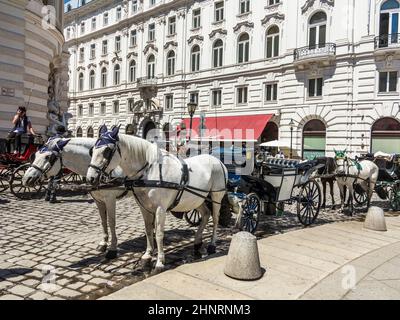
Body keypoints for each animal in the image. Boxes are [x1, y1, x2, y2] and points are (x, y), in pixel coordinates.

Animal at [85, 126, 227, 272]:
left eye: (107, 151)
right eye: (92, 150)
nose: (90, 178)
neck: (149, 171)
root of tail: (217, 160)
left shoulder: (160, 208)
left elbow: (158, 233)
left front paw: (159, 261)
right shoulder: (144, 207)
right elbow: (148, 230)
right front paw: (147, 256)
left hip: (216, 196)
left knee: (215, 218)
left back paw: (212, 245)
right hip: (197, 199)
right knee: (205, 214)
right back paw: (197, 242)